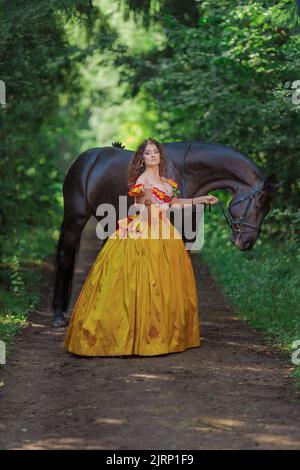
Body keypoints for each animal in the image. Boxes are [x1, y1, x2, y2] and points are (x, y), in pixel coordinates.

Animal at [51, 141, 284, 326]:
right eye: (260, 203)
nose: (247, 242)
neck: (186, 173)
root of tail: (84, 160)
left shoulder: (187, 236)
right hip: (74, 220)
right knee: (65, 258)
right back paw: (58, 315)